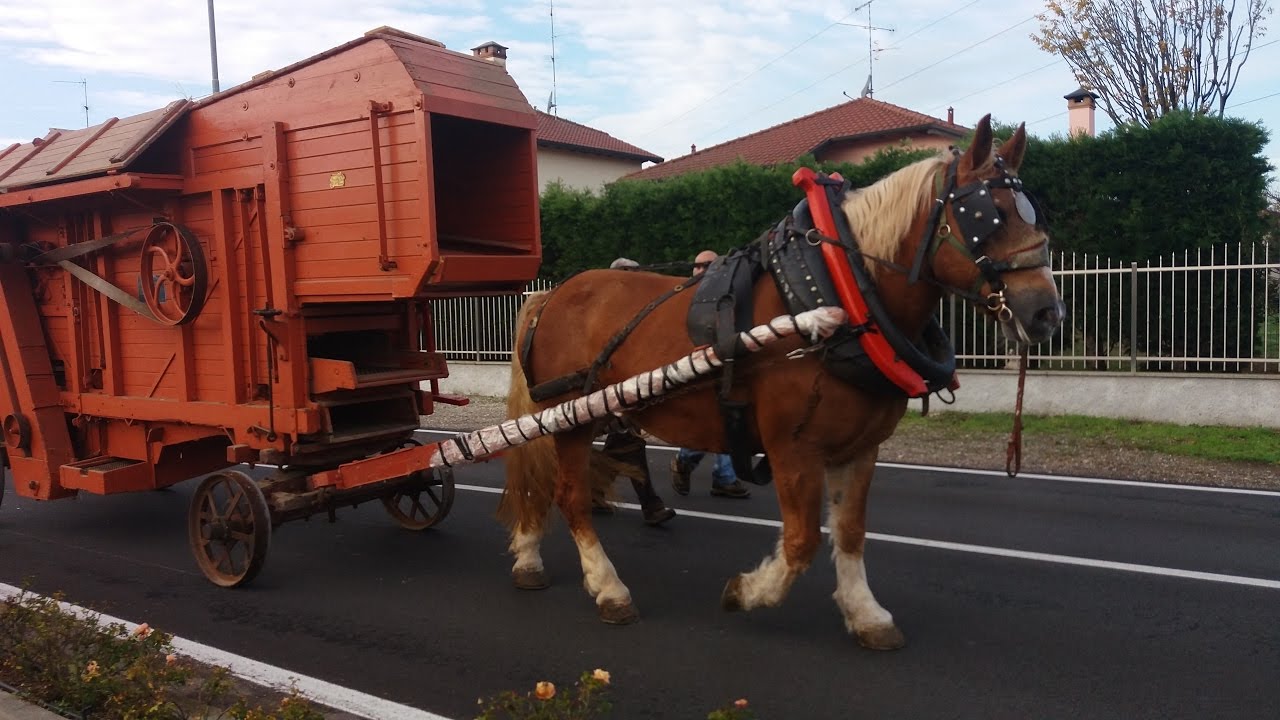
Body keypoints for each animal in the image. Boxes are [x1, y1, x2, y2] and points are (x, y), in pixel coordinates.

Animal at [496, 116, 1065, 649]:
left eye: (1034, 213)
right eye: (987, 217)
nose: (1046, 313)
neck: (840, 294)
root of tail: (553, 294)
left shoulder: (860, 449)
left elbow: (850, 532)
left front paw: (866, 614)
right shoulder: (794, 449)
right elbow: (802, 540)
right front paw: (747, 592)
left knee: (547, 484)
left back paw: (529, 557)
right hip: (571, 419)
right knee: (567, 493)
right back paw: (607, 587)